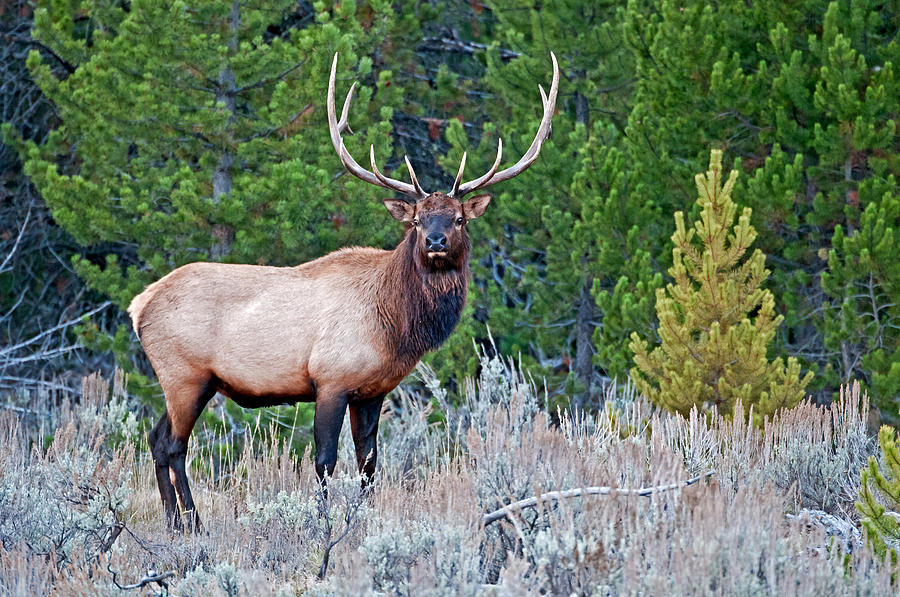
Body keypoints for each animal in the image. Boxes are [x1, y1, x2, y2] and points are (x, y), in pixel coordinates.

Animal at [130, 50, 560, 528]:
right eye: (416, 220)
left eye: (459, 218)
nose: (435, 241)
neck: (396, 325)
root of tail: (138, 305)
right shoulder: (331, 379)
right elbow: (324, 461)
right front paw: (324, 523)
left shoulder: (373, 391)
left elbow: (369, 464)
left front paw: (362, 518)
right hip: (184, 374)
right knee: (173, 445)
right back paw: (191, 522)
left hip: (187, 381)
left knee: (156, 439)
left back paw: (176, 521)